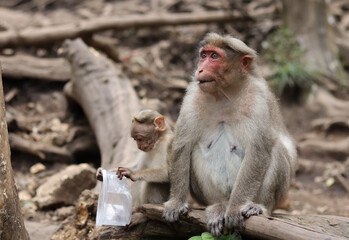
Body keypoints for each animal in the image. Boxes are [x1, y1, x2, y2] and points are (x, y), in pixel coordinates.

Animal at [163, 33, 296, 236]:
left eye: (214, 57)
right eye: (204, 55)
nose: (200, 69)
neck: (225, 93)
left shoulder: (258, 99)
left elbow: (258, 152)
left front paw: (235, 209)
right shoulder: (193, 96)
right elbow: (182, 146)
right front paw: (176, 203)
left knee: (275, 149)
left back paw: (256, 207)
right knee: (194, 151)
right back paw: (219, 206)